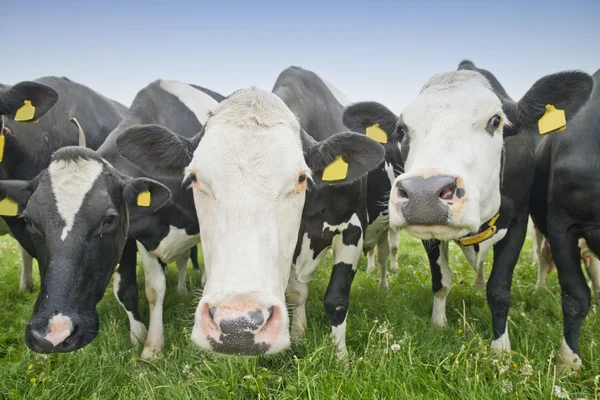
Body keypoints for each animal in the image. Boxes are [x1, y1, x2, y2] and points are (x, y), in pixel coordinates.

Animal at [115, 83, 384, 356]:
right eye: (194, 177)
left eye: (301, 178)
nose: (238, 327)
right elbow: (296, 293)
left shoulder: (353, 230)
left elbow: (336, 299)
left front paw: (341, 357)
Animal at [344, 61, 592, 368]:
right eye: (401, 130)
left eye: (496, 121)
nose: (423, 193)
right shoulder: (430, 234)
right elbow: (441, 281)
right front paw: (438, 323)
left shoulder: (518, 223)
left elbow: (499, 290)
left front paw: (500, 348)